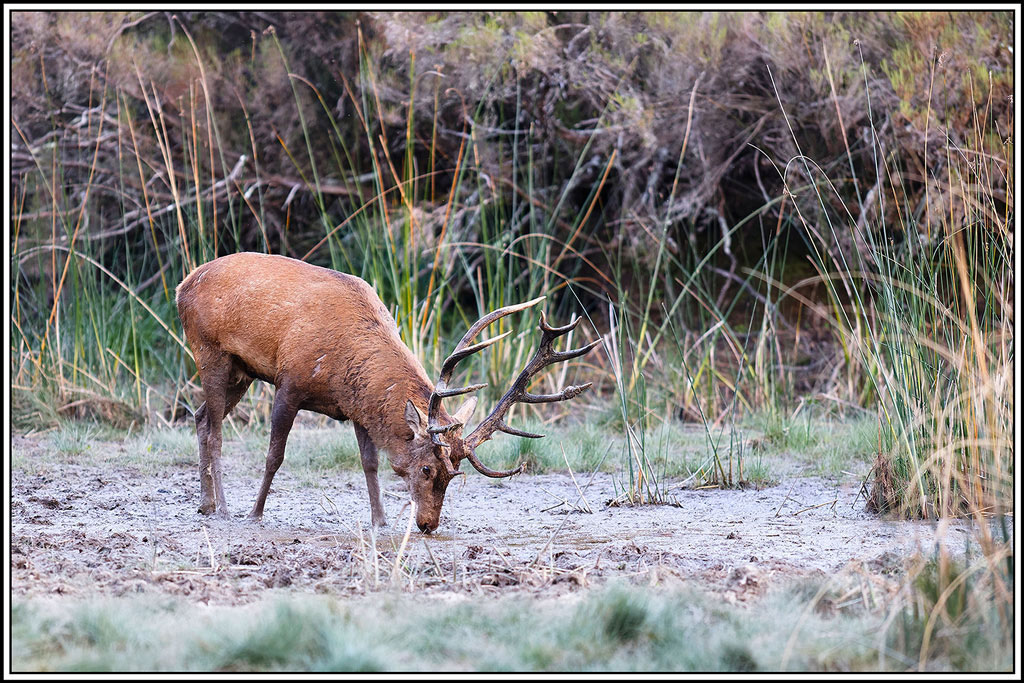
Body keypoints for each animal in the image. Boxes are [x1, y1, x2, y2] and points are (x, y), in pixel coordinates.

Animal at [175, 252, 598, 533]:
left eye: (453, 476)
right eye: (427, 469)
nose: (428, 524)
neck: (344, 362)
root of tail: (183, 284)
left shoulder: (355, 407)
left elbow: (370, 462)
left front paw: (379, 520)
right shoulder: (289, 383)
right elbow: (274, 456)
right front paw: (256, 513)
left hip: (242, 372)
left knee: (200, 416)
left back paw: (204, 505)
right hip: (210, 351)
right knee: (215, 432)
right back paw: (224, 508)